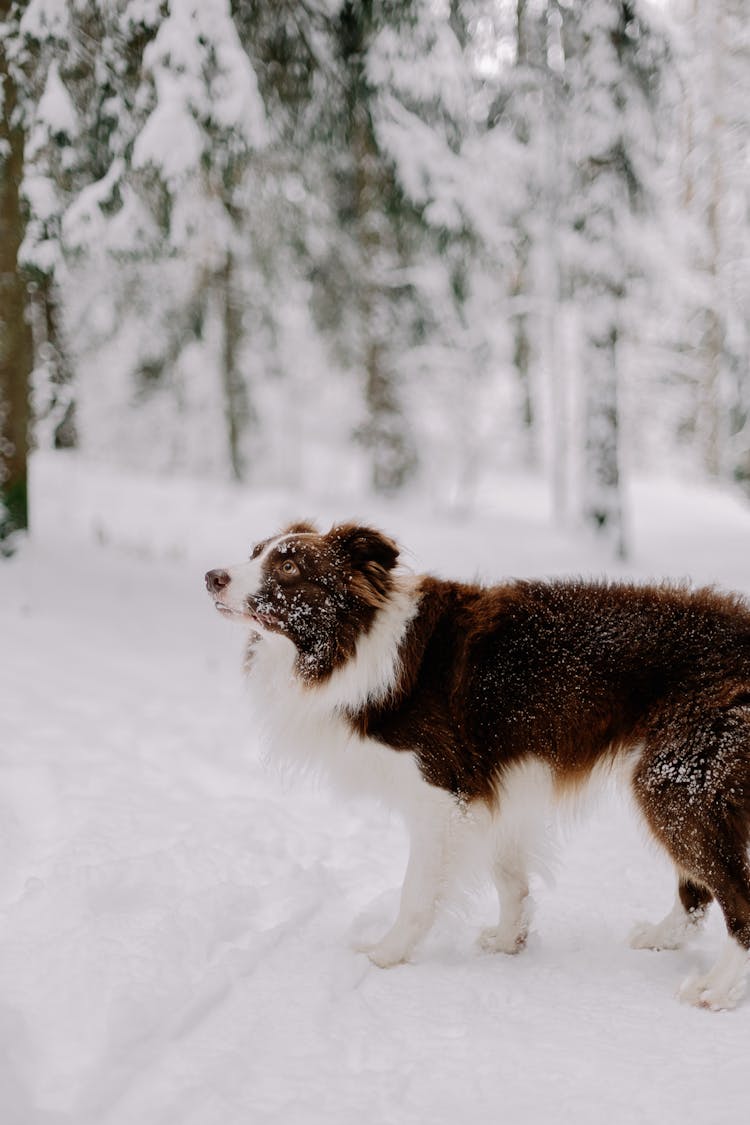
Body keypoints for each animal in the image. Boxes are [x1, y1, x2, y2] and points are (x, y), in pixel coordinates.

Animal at [202, 519, 750, 1012]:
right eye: (254, 552)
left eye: (289, 566)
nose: (211, 576)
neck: (354, 640)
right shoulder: (494, 787)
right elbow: (510, 878)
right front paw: (511, 942)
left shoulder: (440, 793)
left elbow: (417, 893)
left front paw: (386, 956)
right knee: (696, 886)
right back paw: (662, 937)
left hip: (675, 782)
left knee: (734, 898)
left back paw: (716, 990)